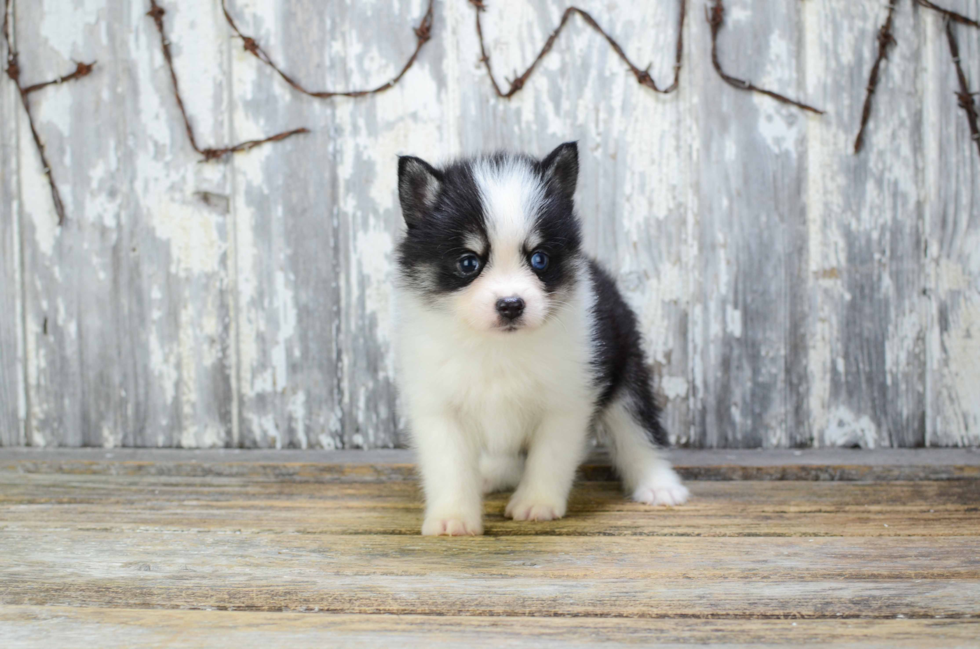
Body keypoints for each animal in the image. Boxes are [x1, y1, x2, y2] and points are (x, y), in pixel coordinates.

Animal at [392, 143, 688, 536]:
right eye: (468, 263)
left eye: (539, 259)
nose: (511, 305)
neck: (498, 347)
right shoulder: (439, 406)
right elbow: (449, 466)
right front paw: (452, 517)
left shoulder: (567, 401)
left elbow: (550, 457)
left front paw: (536, 503)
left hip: (625, 370)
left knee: (637, 429)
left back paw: (659, 485)